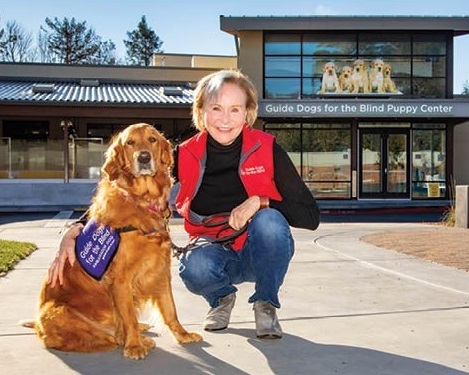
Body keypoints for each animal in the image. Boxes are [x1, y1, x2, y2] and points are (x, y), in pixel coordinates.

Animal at [25, 124, 201, 362]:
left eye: (152, 139)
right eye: (130, 143)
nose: (144, 157)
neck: (140, 201)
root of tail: (37, 325)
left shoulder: (159, 271)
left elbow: (170, 310)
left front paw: (183, 335)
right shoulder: (120, 279)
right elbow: (129, 318)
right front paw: (134, 346)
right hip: (58, 310)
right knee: (108, 336)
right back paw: (137, 339)